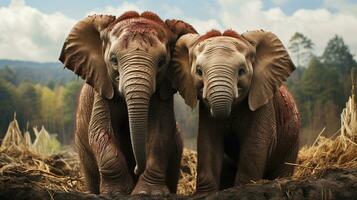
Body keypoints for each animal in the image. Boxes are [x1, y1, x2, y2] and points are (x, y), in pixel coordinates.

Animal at [59, 11, 196, 195]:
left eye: (161, 62)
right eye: (113, 60)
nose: (137, 169)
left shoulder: (163, 93)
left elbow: (160, 133)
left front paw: (148, 193)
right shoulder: (102, 89)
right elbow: (101, 132)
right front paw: (117, 193)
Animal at [170, 29, 300, 192]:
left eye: (241, 71)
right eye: (199, 72)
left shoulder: (262, 103)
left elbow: (255, 145)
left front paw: (244, 188)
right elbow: (208, 143)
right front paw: (206, 193)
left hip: (292, 141)